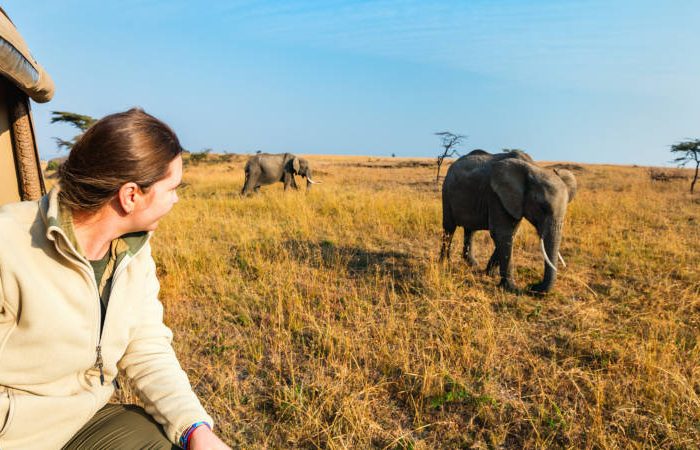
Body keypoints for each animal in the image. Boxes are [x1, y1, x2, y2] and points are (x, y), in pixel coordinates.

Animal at [440, 149, 576, 294]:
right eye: (542, 208)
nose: (533, 286)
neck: (533, 167)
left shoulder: (514, 202)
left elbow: (510, 235)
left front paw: (489, 274)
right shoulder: (496, 195)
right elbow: (502, 233)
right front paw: (511, 288)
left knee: (470, 230)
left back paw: (472, 264)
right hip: (446, 191)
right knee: (449, 228)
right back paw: (444, 264)